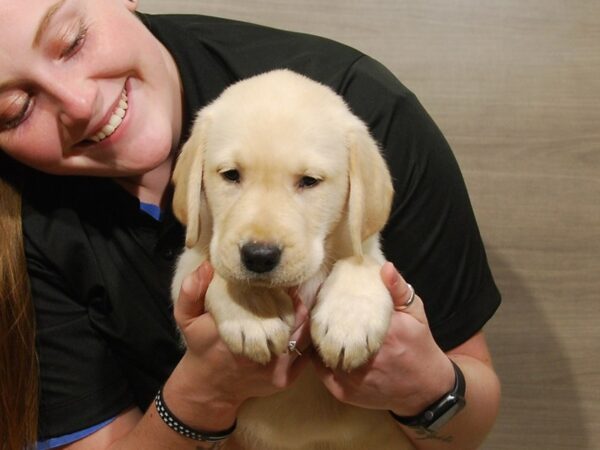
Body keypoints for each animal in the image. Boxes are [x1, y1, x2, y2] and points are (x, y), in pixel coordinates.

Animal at [171, 69, 410, 450]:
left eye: (309, 181)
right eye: (231, 175)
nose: (259, 256)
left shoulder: (368, 248)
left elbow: (363, 263)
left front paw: (348, 321)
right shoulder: (191, 260)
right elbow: (214, 269)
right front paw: (253, 312)